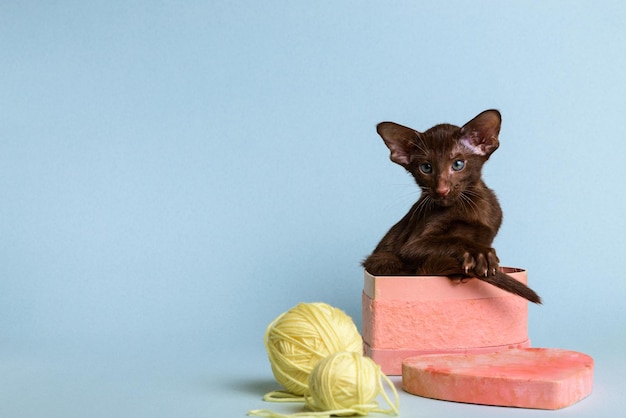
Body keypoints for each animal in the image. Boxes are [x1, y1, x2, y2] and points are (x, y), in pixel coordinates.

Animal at [364, 108, 540, 304]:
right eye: (426, 168)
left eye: (458, 164)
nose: (442, 190)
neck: (468, 206)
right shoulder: (411, 245)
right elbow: (452, 239)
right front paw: (480, 255)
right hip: (382, 257)